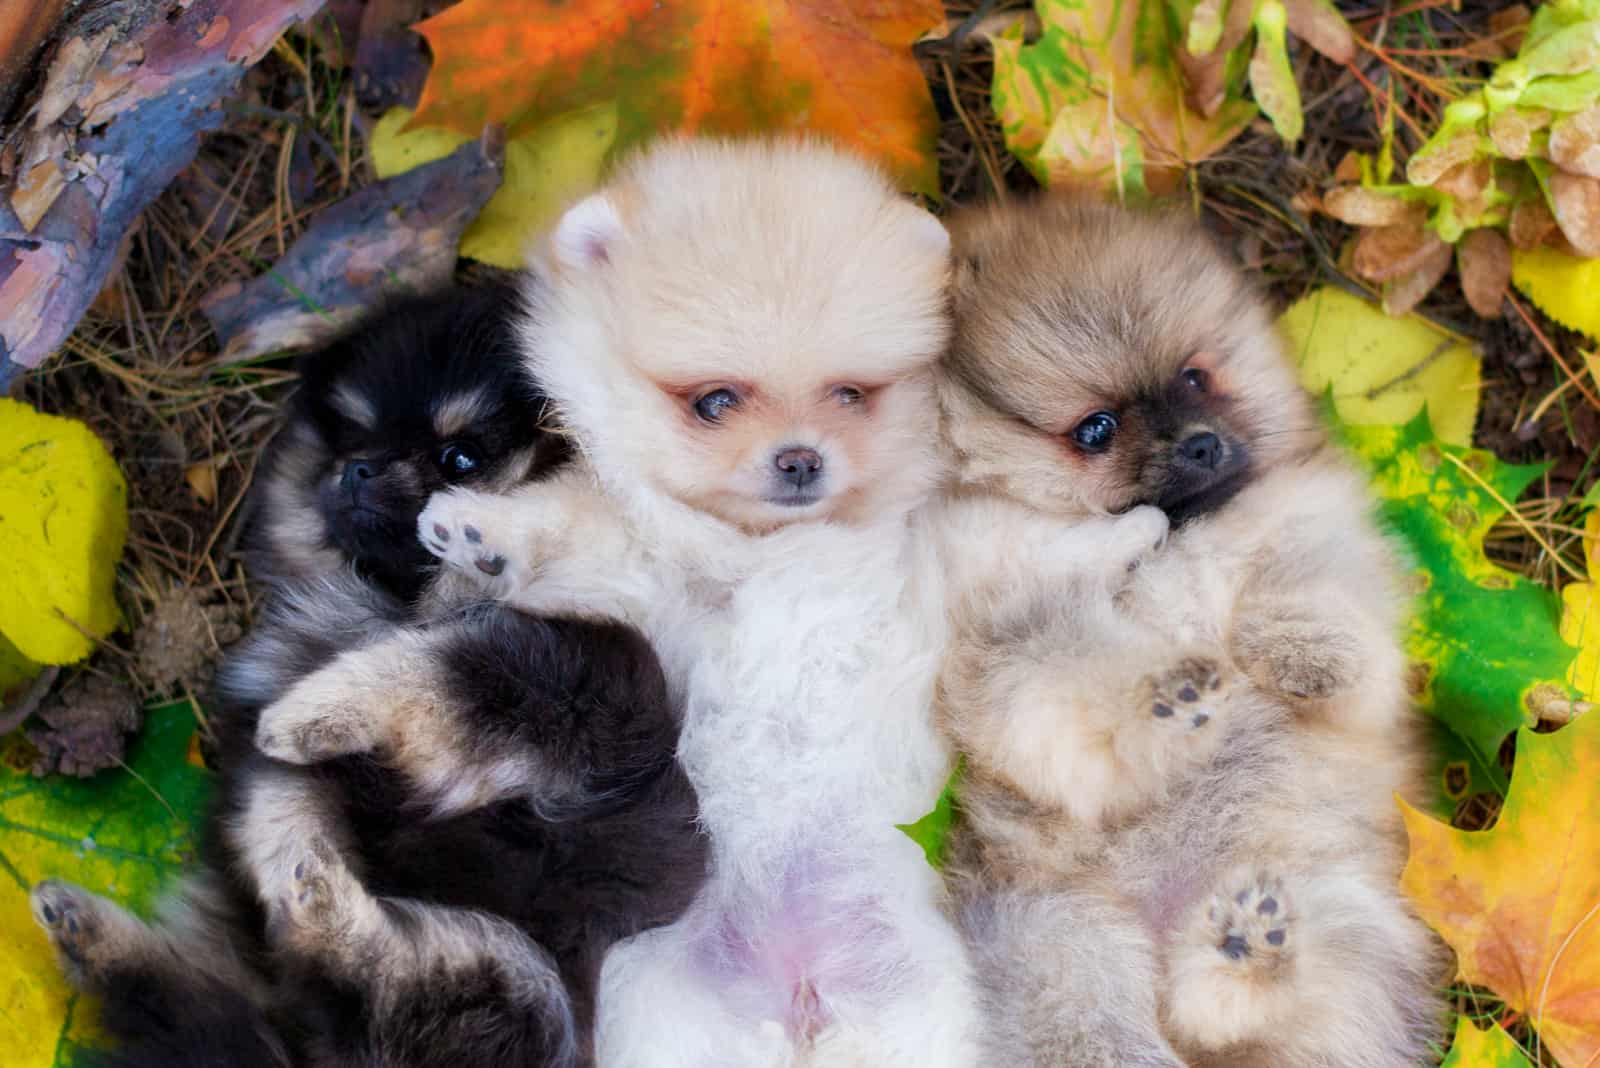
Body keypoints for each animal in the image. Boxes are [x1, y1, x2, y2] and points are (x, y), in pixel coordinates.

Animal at [28, 282, 707, 1068]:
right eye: (355, 438)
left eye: (460, 457)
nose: (356, 471)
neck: (397, 603)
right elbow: (281, 795)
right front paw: (288, 805)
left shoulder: (606, 690)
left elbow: (453, 670)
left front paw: (309, 712)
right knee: (201, 1003)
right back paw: (82, 924)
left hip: (531, 982)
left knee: (392, 988)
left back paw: (318, 903)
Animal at [252, 139, 972, 1068]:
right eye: (714, 402)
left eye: (851, 394)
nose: (802, 458)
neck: (753, 550)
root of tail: (797, 991)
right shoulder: (629, 587)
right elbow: (565, 530)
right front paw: (477, 531)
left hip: (908, 1006)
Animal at [934, 195, 1452, 1061]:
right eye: (1096, 429)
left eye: (1194, 376)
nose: (1203, 443)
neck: (1179, 540)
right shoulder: (1005, 638)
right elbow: (1069, 678)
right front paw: (1165, 697)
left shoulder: (1312, 527)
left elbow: (1328, 612)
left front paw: (1303, 651)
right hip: (1056, 949)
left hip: (1343, 907)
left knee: (1240, 1007)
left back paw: (1244, 950)